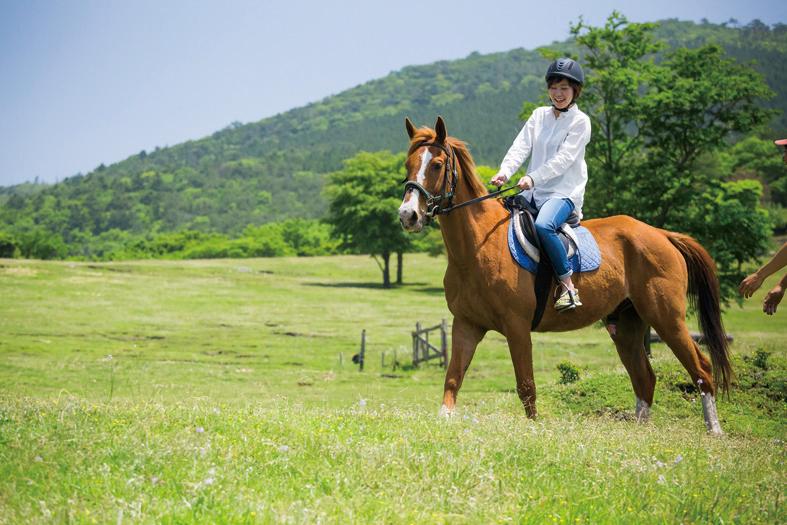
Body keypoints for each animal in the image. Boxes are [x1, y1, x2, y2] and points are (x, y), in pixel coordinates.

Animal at [400, 116, 732, 432]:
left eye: (437, 165)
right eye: (408, 164)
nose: (408, 215)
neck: (478, 246)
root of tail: (662, 235)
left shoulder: (517, 327)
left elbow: (526, 387)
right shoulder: (466, 325)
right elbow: (452, 380)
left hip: (666, 318)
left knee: (701, 369)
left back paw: (714, 432)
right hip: (626, 324)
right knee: (644, 378)